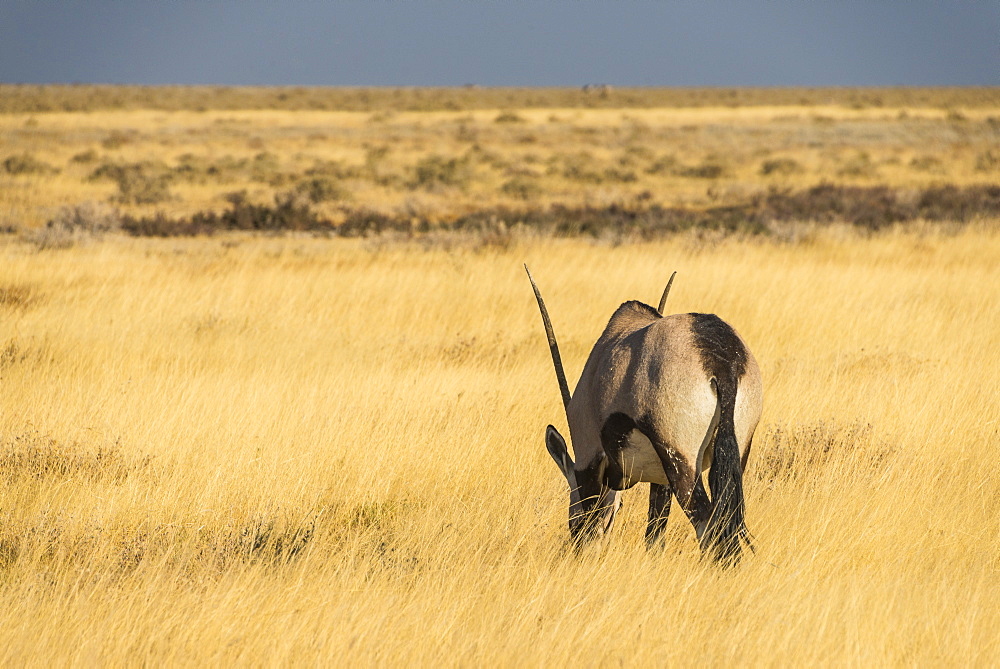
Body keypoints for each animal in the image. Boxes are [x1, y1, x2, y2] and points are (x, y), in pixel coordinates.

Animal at [528, 266, 760, 564]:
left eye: (572, 515)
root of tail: (722, 363)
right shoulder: (660, 481)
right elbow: (655, 535)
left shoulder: (590, 458)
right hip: (733, 456)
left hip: (681, 462)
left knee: (708, 526)